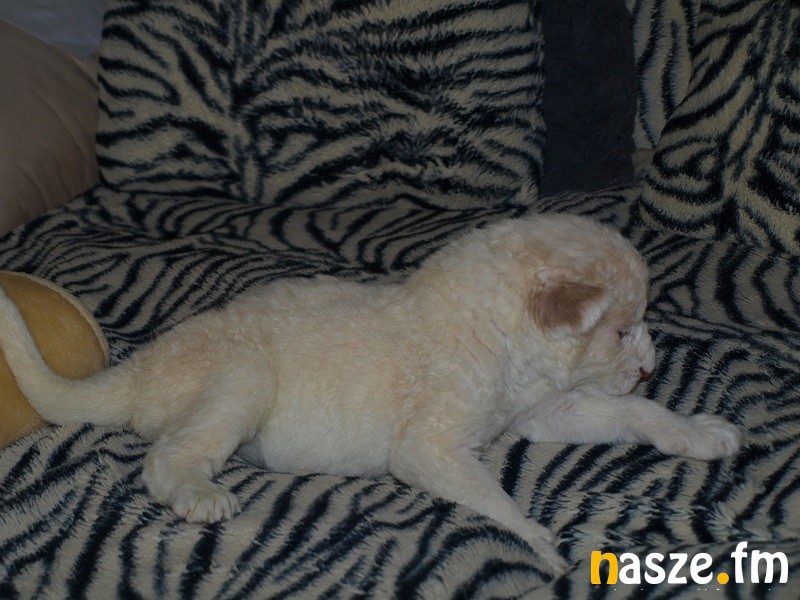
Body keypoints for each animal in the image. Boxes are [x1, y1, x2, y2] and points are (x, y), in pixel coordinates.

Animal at [0, 214, 741, 574]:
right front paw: (542, 543)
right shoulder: (426, 449)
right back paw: (198, 492)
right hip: (240, 378)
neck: (492, 331)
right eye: (619, 329)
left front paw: (697, 431)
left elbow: (627, 412)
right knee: (166, 456)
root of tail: (141, 366)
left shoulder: (545, 408)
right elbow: (493, 495)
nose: (649, 365)